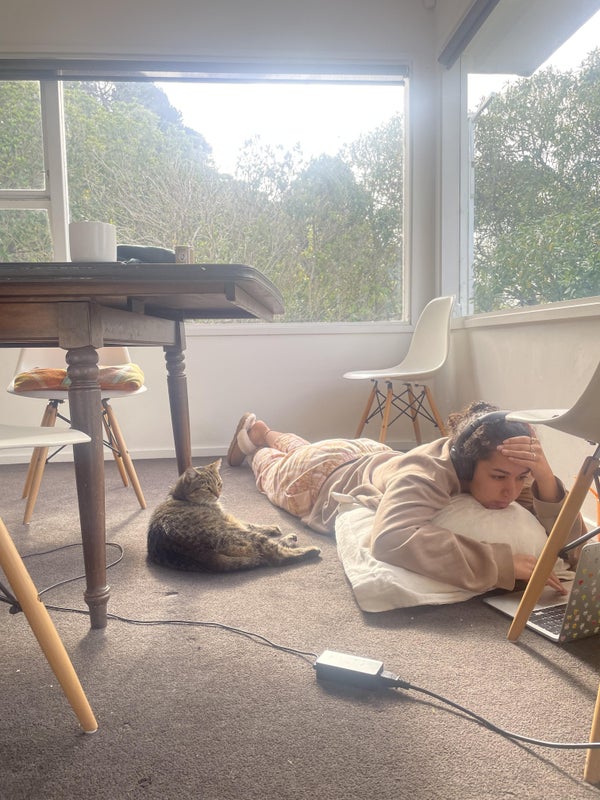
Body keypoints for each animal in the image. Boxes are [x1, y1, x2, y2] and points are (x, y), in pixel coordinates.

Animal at [147, 459, 321, 572]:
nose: (218, 494)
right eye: (206, 488)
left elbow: (250, 523)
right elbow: (249, 524)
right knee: (275, 555)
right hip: (241, 535)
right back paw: (310, 549)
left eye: (219, 484)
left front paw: (271, 527)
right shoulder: (228, 518)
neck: (179, 495)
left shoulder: (230, 518)